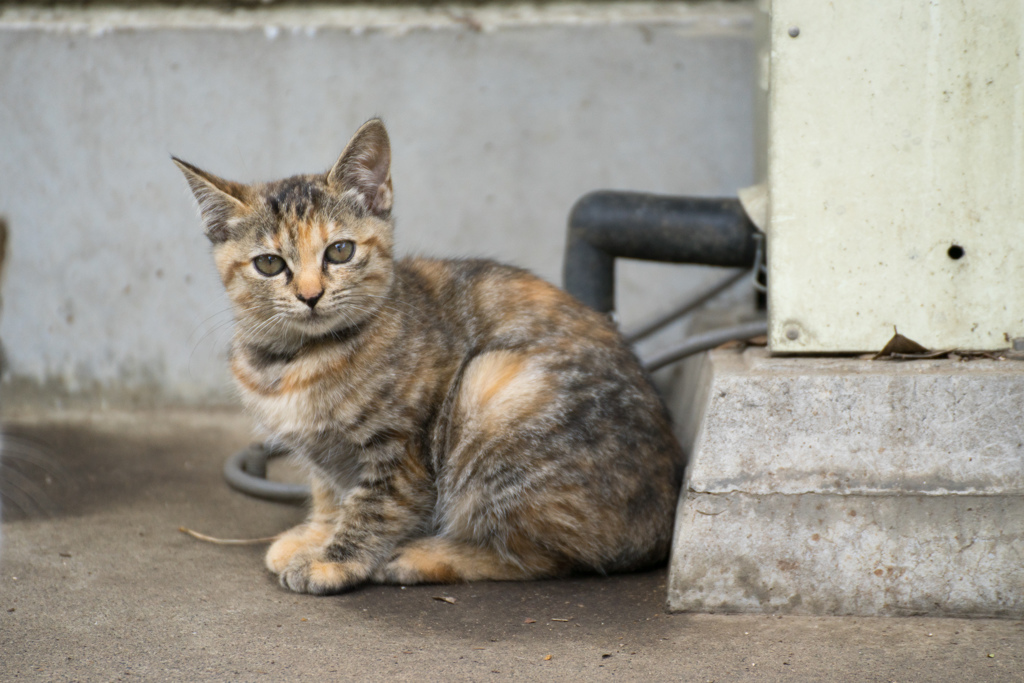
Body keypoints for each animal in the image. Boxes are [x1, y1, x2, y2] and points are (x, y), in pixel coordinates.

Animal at [174, 118, 688, 593]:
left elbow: (375, 506)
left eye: (339, 251)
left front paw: (332, 561)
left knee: (547, 555)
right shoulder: (326, 454)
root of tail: (661, 524)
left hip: (489, 386)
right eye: (269, 263)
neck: (293, 360)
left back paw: (423, 556)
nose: (310, 295)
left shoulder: (401, 449)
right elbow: (329, 490)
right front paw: (317, 533)